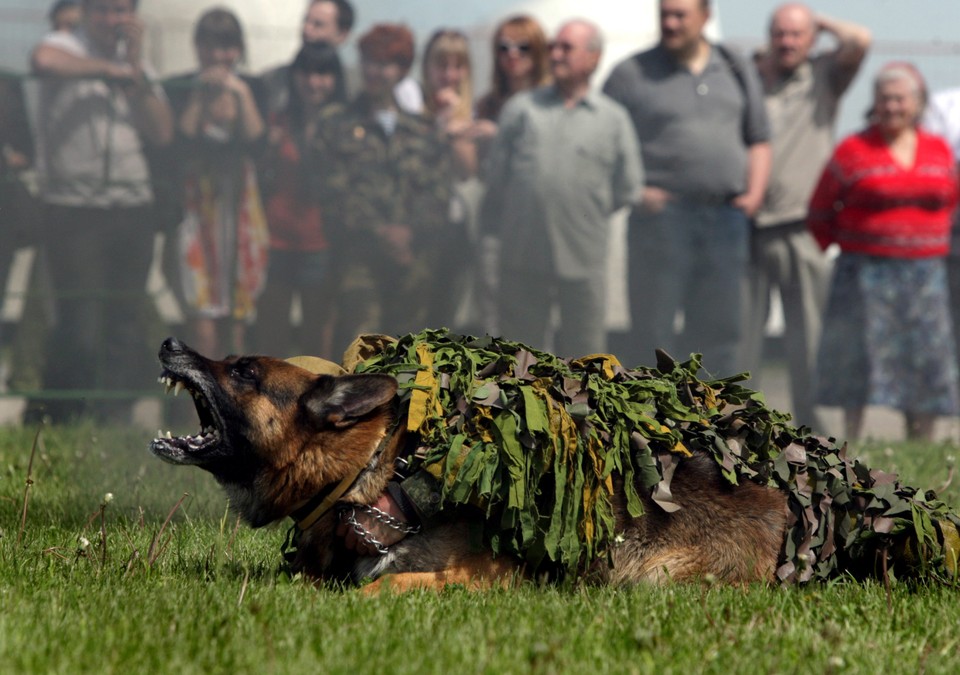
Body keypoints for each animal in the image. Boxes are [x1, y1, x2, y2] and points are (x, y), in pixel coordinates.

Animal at [150, 336, 960, 588]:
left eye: (244, 369)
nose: (169, 344)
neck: (370, 476)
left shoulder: (482, 575)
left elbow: (387, 585)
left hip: (651, 575)